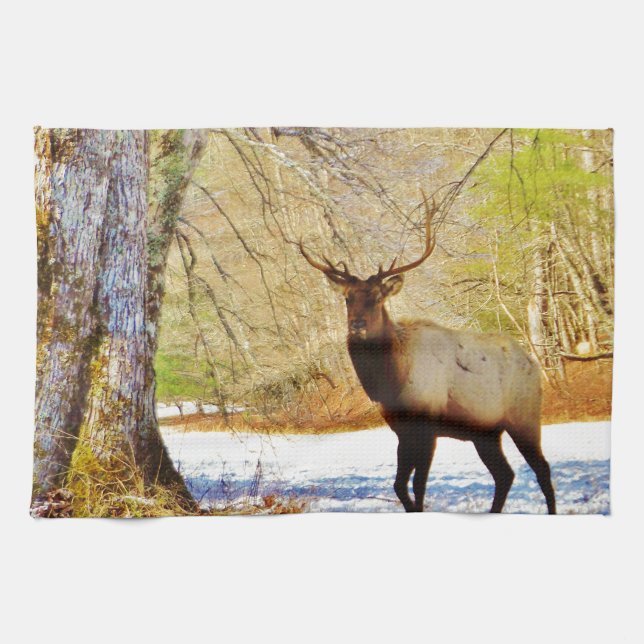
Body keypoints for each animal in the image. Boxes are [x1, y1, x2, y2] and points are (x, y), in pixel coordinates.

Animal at [300, 195, 556, 514]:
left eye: (377, 297)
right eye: (348, 298)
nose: (357, 325)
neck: (391, 379)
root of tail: (533, 363)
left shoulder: (427, 426)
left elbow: (418, 487)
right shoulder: (401, 429)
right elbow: (400, 487)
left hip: (524, 415)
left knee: (542, 469)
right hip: (485, 432)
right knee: (505, 474)